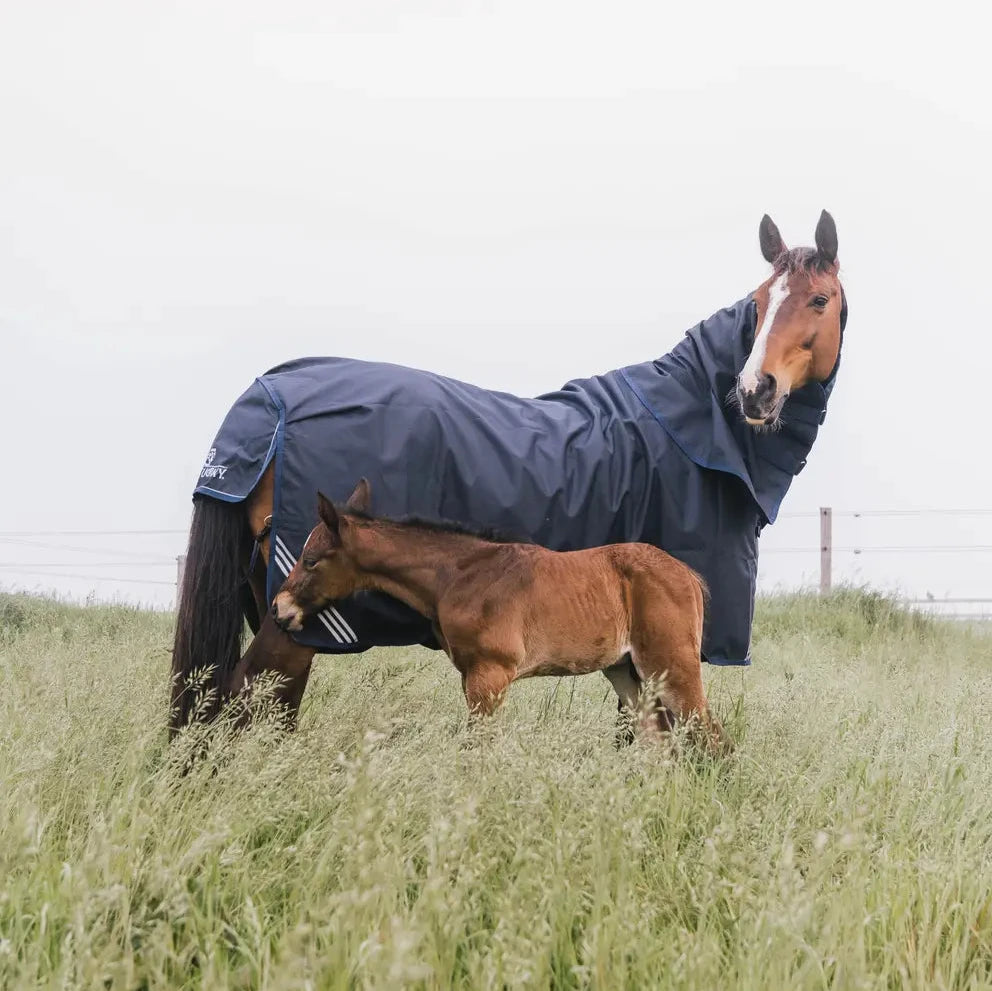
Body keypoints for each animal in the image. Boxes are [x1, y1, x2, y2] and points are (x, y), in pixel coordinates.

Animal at [272, 480, 728, 752]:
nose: (279, 610)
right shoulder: (470, 677)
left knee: (713, 739)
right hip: (627, 672)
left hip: (670, 666)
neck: (460, 574)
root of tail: (687, 574)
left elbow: (478, 749)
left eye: (310, 560)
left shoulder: (489, 675)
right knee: (661, 742)